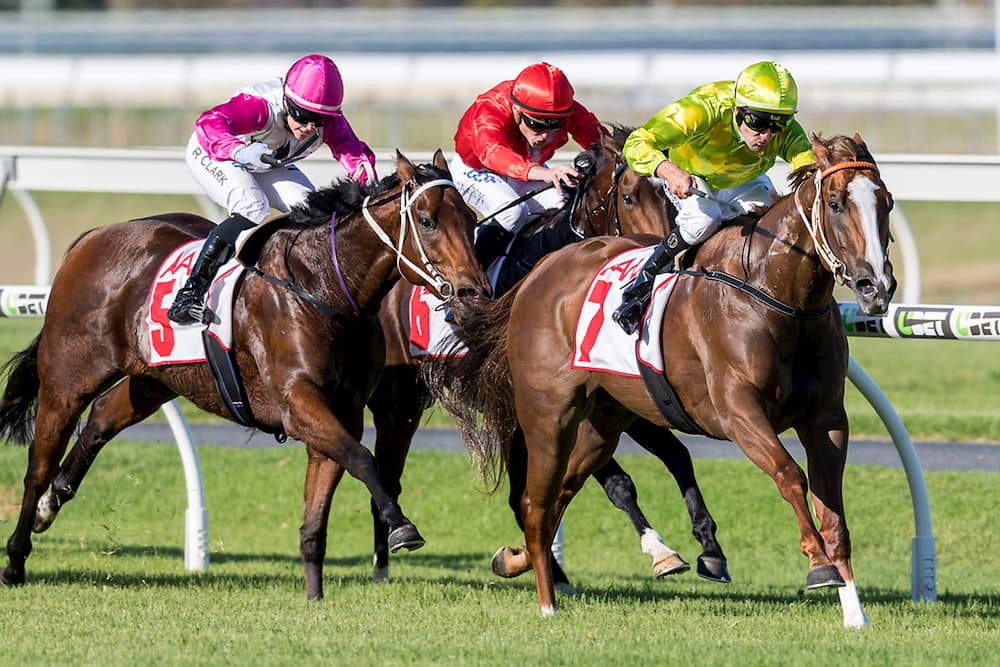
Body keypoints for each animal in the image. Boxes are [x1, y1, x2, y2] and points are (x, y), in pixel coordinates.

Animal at [0, 150, 490, 601]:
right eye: (426, 221)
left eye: (470, 218)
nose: (473, 292)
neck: (325, 289)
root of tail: (90, 239)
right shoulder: (299, 403)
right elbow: (365, 460)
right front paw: (402, 526)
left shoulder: (342, 412)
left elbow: (319, 513)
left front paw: (314, 597)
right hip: (67, 379)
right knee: (37, 466)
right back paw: (16, 560)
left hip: (154, 379)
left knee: (101, 419)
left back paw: (51, 503)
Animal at [365, 126, 729, 590]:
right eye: (629, 197)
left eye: (670, 198)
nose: (659, 254)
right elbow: (618, 483)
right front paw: (660, 551)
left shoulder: (616, 398)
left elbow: (677, 455)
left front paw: (709, 546)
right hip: (400, 403)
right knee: (391, 477)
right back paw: (384, 562)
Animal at [425, 134, 895, 627]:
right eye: (837, 202)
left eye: (886, 201)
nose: (875, 286)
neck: (775, 294)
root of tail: (539, 273)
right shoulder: (738, 412)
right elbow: (789, 475)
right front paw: (818, 565)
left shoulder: (826, 419)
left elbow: (834, 513)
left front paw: (854, 613)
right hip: (548, 415)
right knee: (535, 502)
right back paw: (547, 603)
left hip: (604, 421)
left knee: (560, 493)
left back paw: (517, 559)